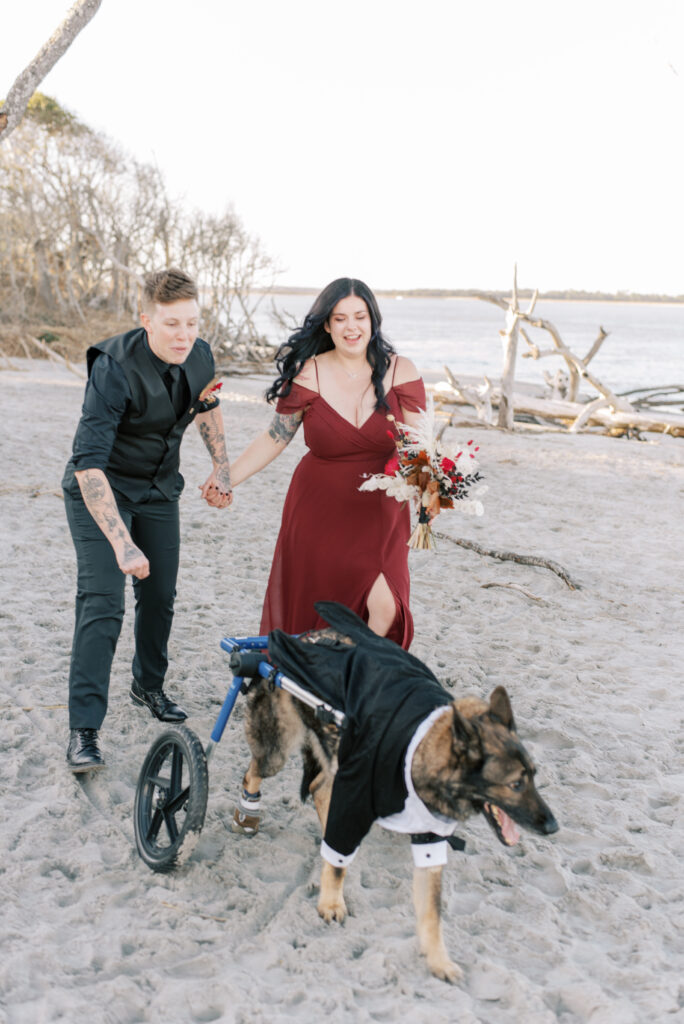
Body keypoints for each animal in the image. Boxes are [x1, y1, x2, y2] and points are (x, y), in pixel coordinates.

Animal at [232, 610, 557, 978]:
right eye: (516, 784)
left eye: (533, 777)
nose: (553, 827)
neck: (419, 748)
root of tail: (299, 638)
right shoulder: (355, 797)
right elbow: (337, 865)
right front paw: (331, 902)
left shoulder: (428, 839)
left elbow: (431, 911)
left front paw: (438, 959)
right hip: (277, 750)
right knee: (255, 772)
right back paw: (246, 813)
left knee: (319, 788)